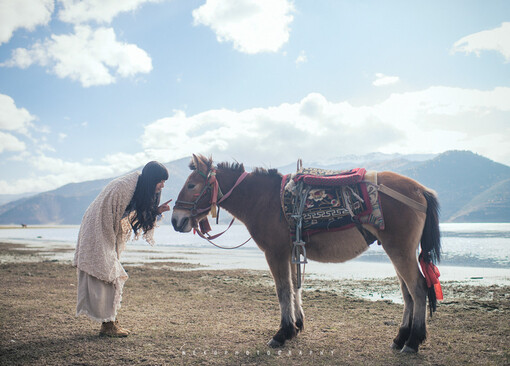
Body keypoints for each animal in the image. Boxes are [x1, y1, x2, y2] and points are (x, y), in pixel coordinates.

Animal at [171, 154, 442, 352]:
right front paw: (296, 325)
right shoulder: (290, 252)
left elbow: (283, 290)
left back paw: (413, 341)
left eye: (192, 185)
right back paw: (401, 337)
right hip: (396, 250)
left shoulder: (275, 252)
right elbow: (294, 288)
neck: (263, 200)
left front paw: (282, 333)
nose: (175, 220)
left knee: (418, 288)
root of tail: (420, 190)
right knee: (407, 292)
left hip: (399, 250)